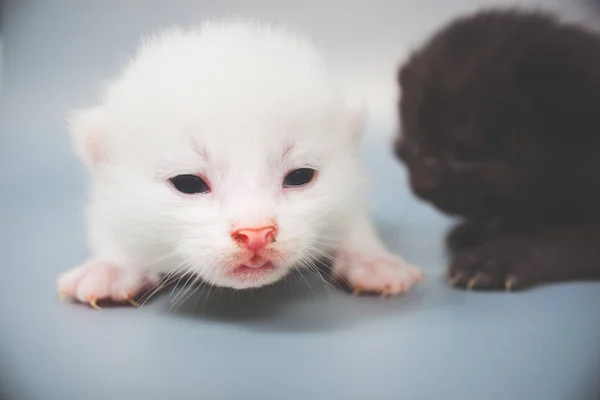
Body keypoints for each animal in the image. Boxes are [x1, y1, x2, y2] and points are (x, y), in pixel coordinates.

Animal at [57, 19, 422, 310]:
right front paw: (112, 267)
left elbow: (353, 223)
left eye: (300, 176)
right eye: (188, 183)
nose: (256, 234)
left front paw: (372, 260)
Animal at [396, 8, 600, 290]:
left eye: (466, 153)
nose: (423, 186)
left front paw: (492, 260)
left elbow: (566, 236)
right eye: (415, 143)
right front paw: (476, 231)